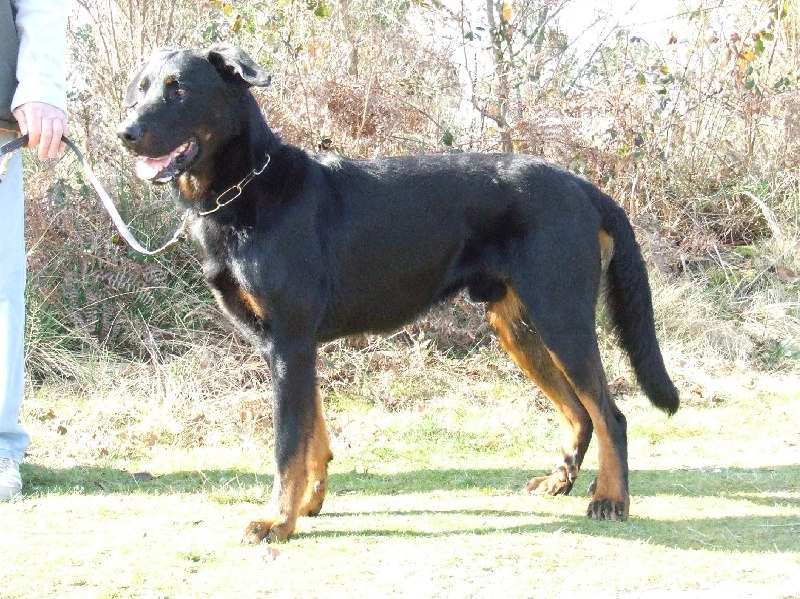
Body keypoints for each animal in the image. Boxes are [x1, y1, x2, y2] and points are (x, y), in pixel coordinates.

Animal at [117, 44, 679, 543]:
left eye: (179, 90)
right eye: (139, 90)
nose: (125, 133)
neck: (246, 188)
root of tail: (583, 187)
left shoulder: (289, 344)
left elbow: (287, 446)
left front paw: (277, 520)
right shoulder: (294, 349)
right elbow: (313, 438)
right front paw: (307, 504)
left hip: (561, 318)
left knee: (610, 415)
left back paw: (610, 499)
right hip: (518, 328)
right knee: (579, 412)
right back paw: (561, 481)